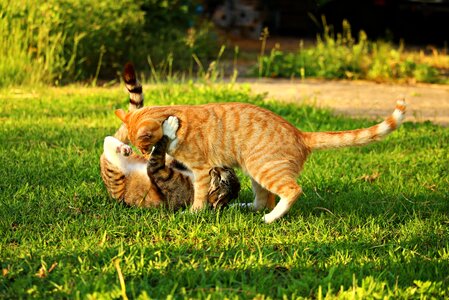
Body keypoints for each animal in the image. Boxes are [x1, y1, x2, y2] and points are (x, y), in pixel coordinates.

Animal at [100, 63, 240, 209]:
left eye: (222, 180)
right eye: (227, 170)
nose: (218, 167)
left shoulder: (160, 172)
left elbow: (158, 154)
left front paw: (169, 127)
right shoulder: (174, 162)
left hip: (114, 174)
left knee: (108, 145)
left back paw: (122, 148)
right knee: (109, 139)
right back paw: (123, 147)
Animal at [114, 63, 406, 223]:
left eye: (145, 145)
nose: (142, 154)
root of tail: (301, 133)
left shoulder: (200, 170)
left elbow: (198, 196)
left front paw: (194, 213)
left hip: (263, 168)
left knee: (291, 192)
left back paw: (271, 218)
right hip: (255, 173)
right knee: (263, 200)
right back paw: (242, 208)